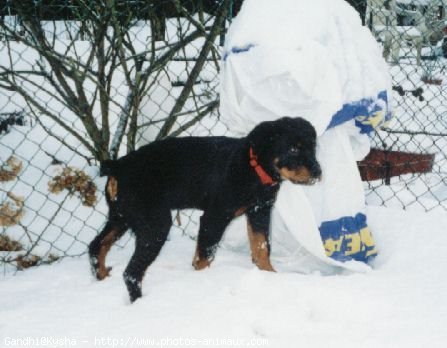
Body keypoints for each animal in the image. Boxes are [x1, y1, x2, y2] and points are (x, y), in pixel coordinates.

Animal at [89, 116, 324, 302]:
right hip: (155, 224)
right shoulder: (215, 217)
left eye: (313, 148)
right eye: (293, 149)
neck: (254, 168)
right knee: (131, 272)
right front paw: (203, 282)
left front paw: (270, 276)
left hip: (121, 216)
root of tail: (118, 166)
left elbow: (261, 247)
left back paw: (101, 277)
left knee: (97, 245)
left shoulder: (260, 211)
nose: (318, 173)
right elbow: (205, 255)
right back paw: (139, 302)